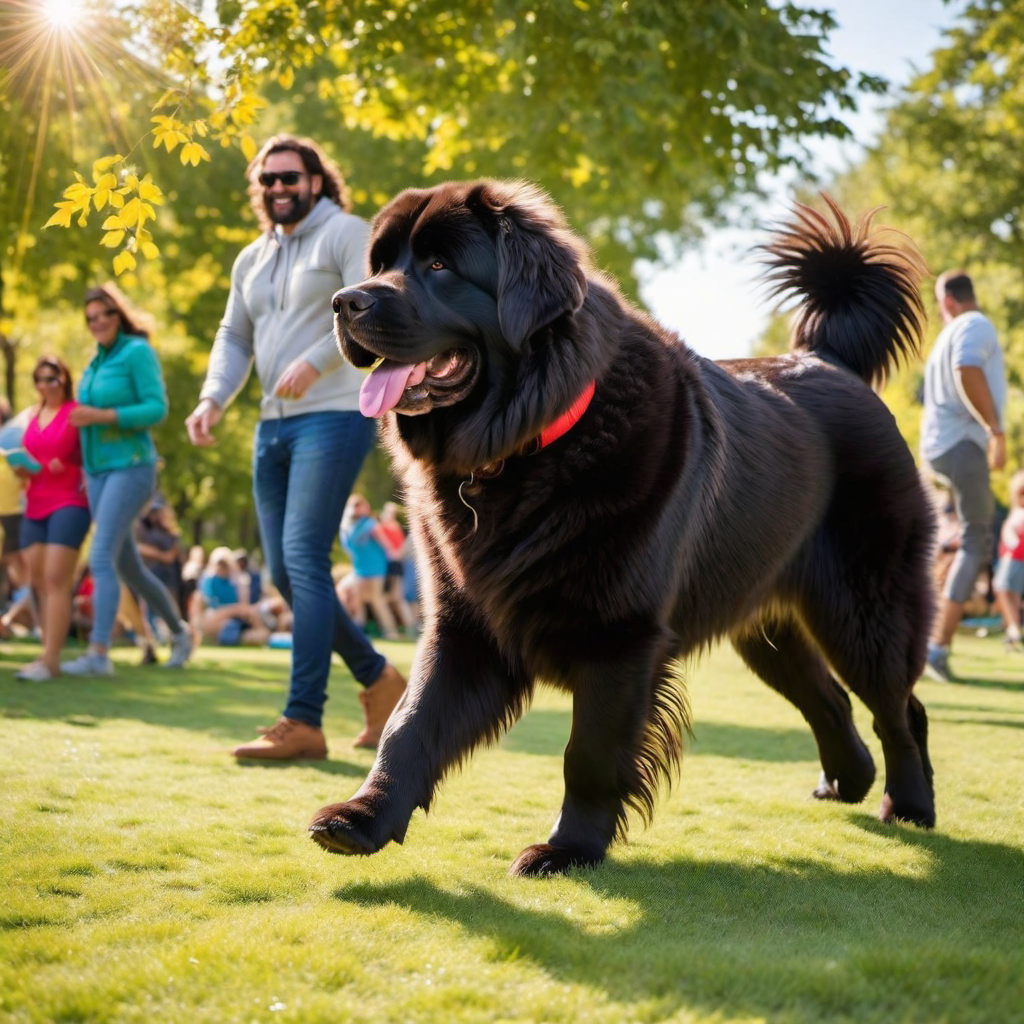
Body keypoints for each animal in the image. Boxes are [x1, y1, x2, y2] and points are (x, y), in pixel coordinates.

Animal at [309, 182, 937, 872]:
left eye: (440, 266)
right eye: (380, 263)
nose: (344, 301)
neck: (529, 445)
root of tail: (827, 360)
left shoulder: (621, 637)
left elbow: (588, 753)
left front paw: (568, 849)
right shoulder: (465, 623)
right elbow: (411, 724)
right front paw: (362, 818)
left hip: (865, 607)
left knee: (899, 707)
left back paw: (910, 804)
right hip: (765, 625)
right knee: (830, 698)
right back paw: (847, 781)